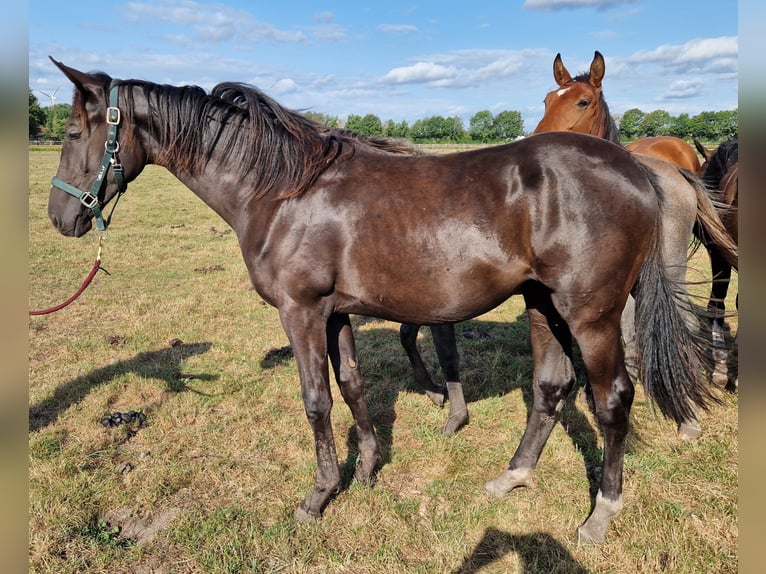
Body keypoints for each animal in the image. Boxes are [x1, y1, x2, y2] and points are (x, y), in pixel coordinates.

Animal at [401, 51, 738, 440]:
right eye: (547, 99)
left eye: (583, 101)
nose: (535, 145)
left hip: (671, 267)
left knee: (686, 319)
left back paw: (693, 408)